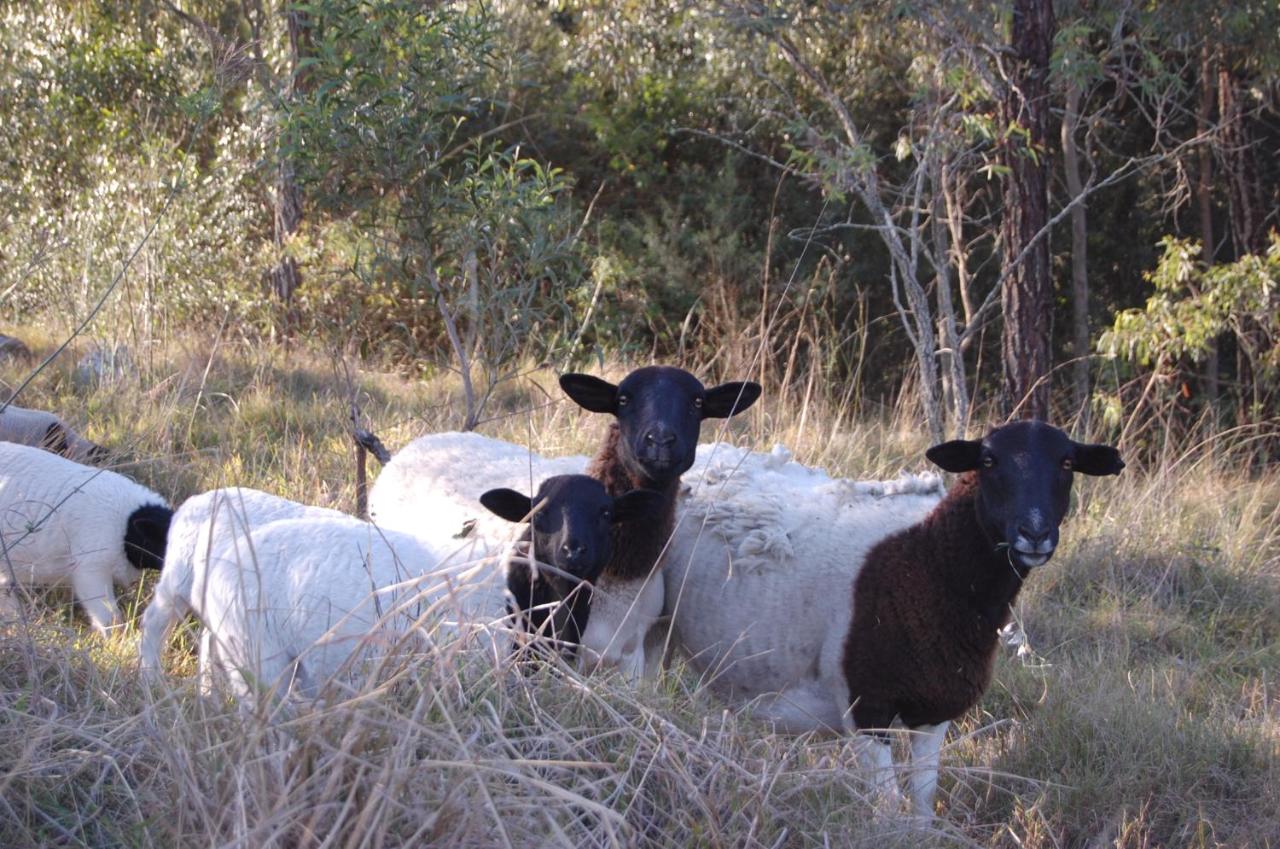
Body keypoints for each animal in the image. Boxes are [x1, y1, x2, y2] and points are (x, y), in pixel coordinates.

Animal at [366, 366, 757, 676]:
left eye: (697, 403)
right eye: (623, 399)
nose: (660, 442)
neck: (620, 574)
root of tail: (426, 441)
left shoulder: (632, 657)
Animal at [660, 422, 1121, 819]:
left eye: (1067, 463)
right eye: (989, 461)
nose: (1035, 534)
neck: (932, 558)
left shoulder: (935, 705)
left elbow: (922, 803)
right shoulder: (865, 705)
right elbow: (888, 809)